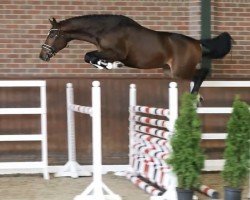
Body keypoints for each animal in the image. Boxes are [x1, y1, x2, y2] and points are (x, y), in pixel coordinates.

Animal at [39, 14, 232, 95]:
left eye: (52, 35)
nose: (42, 56)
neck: (105, 29)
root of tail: (197, 43)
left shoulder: (115, 52)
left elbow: (89, 55)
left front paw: (112, 65)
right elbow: (89, 57)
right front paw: (107, 65)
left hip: (180, 71)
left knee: (201, 73)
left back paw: (194, 96)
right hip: (170, 71)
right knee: (197, 75)